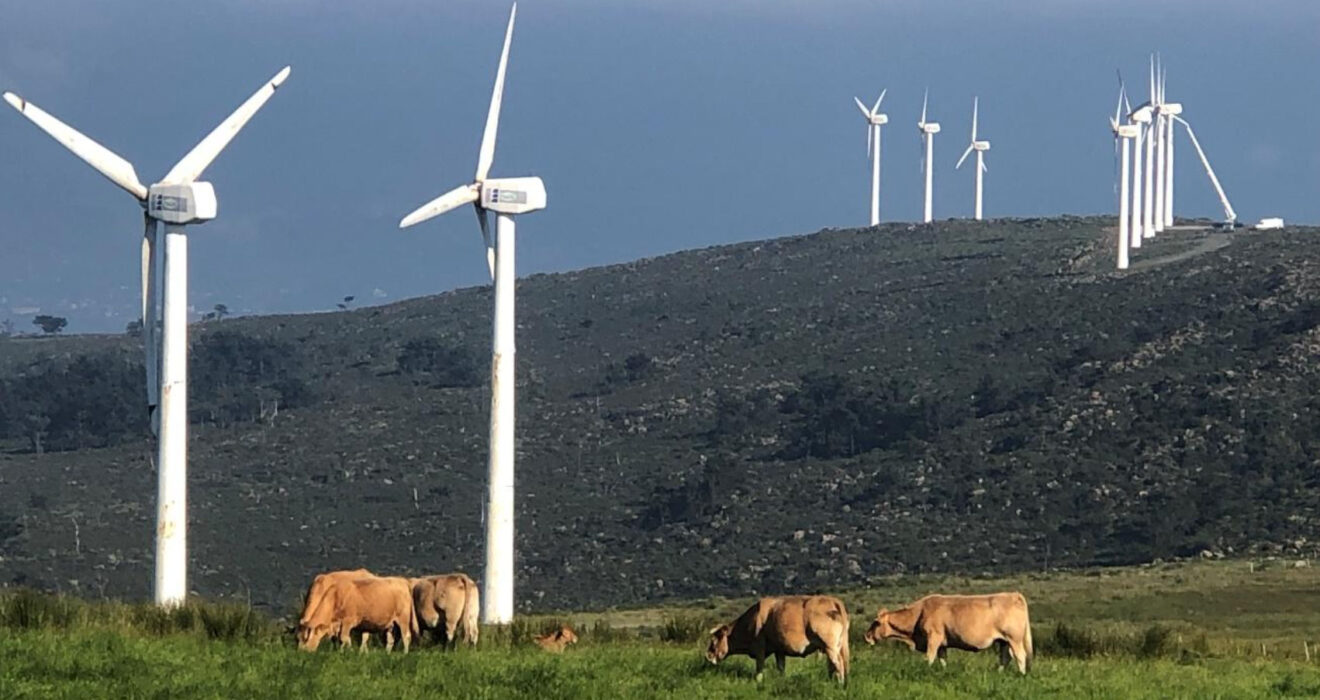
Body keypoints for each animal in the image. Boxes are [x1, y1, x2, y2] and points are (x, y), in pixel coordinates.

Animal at [860, 589, 1034, 670]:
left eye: (875, 622)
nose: (866, 636)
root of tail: (1013, 595)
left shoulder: (933, 638)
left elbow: (929, 658)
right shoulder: (942, 644)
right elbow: (942, 660)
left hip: (1014, 639)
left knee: (1020, 656)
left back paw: (1021, 674)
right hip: (1003, 641)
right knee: (1005, 658)